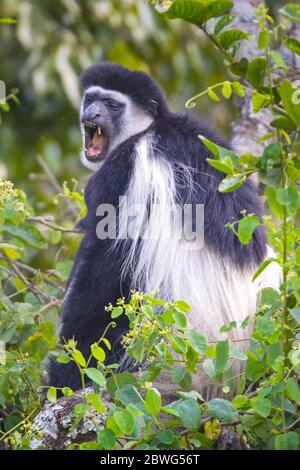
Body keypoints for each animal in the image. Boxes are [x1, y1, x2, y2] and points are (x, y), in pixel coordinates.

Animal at [48, 62, 278, 392]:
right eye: (91, 99)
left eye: (113, 106)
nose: (92, 114)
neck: (148, 129)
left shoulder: (123, 170)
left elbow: (104, 259)